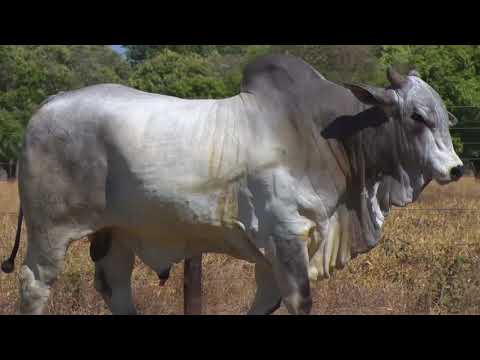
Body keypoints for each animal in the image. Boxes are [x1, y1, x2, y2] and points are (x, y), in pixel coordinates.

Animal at [1, 54, 464, 316]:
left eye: (445, 116)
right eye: (417, 116)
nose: (457, 169)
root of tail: (50, 102)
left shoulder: (276, 251)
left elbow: (266, 302)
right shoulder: (286, 235)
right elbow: (298, 300)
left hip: (117, 233)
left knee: (115, 287)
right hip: (50, 232)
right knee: (34, 284)